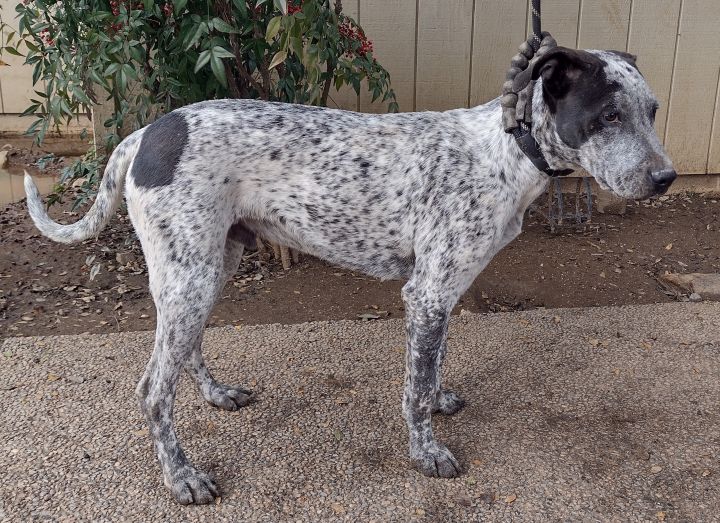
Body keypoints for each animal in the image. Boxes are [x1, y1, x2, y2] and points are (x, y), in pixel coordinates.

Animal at [23, 47, 676, 506]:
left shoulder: (438, 296)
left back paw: (216, 394)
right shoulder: (429, 292)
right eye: (608, 114)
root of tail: (145, 134)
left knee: (186, 353)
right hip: (192, 275)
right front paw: (426, 454)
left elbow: (431, 371)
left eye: (652, 112)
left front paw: (440, 401)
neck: (509, 151)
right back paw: (183, 479)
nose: (667, 178)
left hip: (209, 267)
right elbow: (414, 391)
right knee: (153, 390)